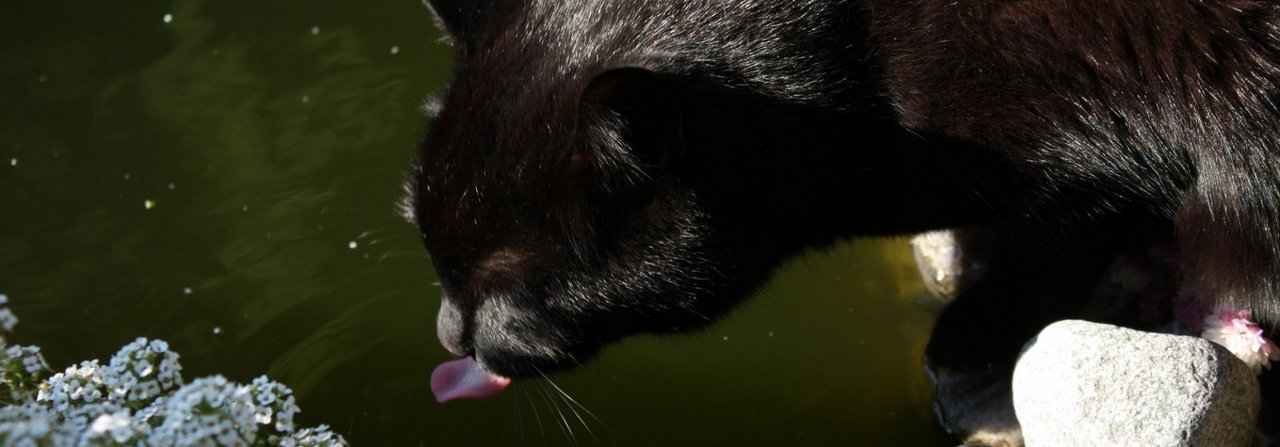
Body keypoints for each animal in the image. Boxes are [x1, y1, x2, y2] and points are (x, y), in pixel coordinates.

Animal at [407, 0, 1280, 443]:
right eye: (427, 243)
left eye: (508, 297)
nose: (448, 334)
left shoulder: (1092, 145)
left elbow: (1053, 248)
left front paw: (966, 337)